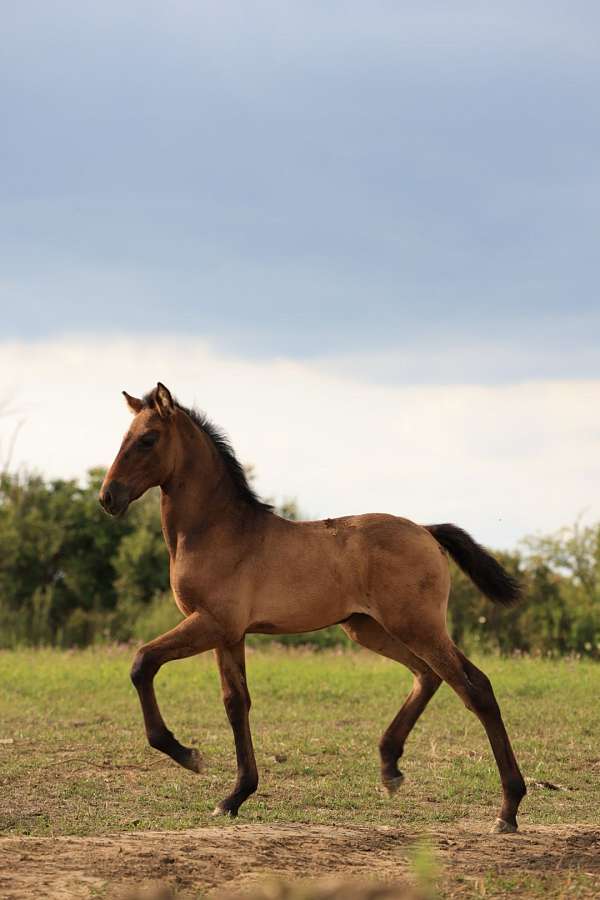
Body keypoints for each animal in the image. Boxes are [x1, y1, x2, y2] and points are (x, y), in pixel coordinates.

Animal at [101, 380, 528, 828]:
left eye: (148, 439)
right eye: (125, 437)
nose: (107, 497)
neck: (219, 531)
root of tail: (426, 531)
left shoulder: (212, 623)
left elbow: (143, 662)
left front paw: (188, 755)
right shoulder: (229, 635)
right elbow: (236, 703)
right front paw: (234, 796)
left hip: (417, 626)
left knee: (474, 688)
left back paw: (507, 809)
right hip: (369, 628)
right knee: (429, 675)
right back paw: (390, 767)